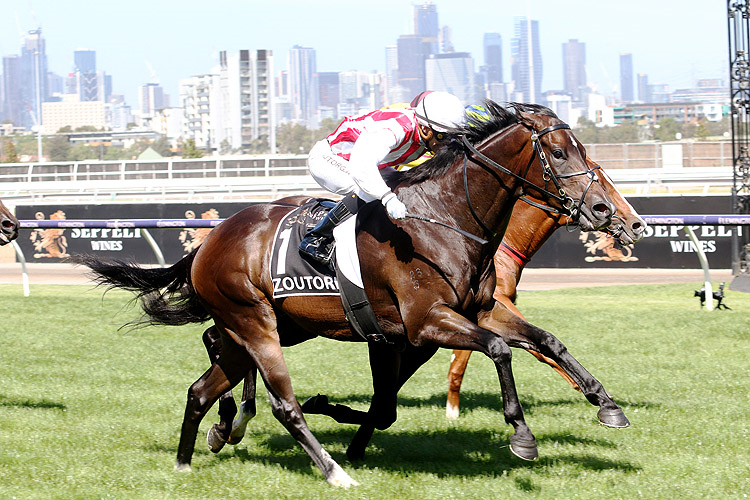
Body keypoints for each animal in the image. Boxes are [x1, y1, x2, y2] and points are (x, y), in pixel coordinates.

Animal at [75, 101, 624, 488]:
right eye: (559, 153)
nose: (603, 211)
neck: (444, 220)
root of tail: (208, 241)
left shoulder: (480, 309)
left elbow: (545, 341)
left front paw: (606, 403)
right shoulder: (426, 322)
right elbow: (498, 350)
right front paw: (522, 436)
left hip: (261, 328)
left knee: (201, 387)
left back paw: (190, 458)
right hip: (254, 322)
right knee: (282, 403)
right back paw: (334, 471)